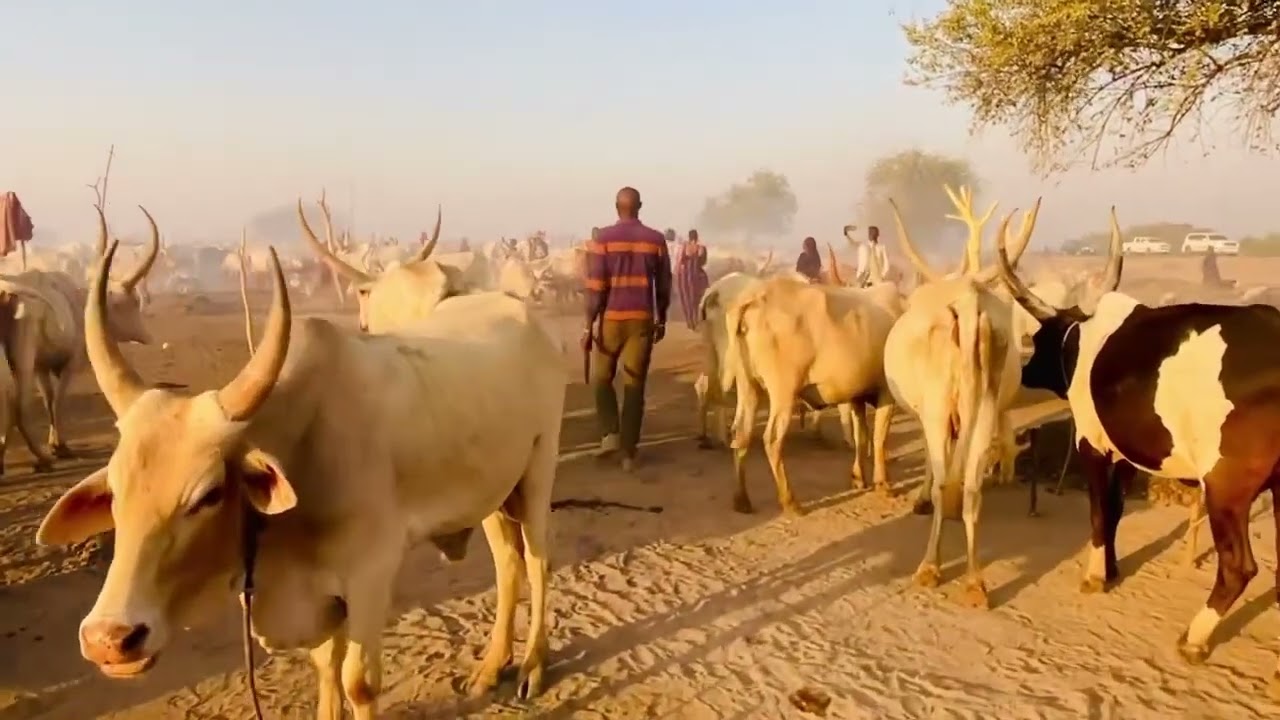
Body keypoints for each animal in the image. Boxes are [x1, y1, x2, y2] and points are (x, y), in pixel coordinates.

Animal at [35, 236, 567, 718]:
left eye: (208, 494)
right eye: (115, 493)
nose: (109, 638)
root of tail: (520, 310)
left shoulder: (370, 574)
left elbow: (358, 682)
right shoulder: (318, 598)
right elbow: (325, 666)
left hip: (538, 471)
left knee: (538, 560)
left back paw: (532, 666)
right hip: (493, 492)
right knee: (508, 564)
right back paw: (492, 667)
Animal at [722, 274, 905, 515]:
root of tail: (754, 297)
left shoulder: (857, 395)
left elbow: (861, 437)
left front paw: (858, 478)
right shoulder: (886, 393)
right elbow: (879, 438)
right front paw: (883, 484)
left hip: (748, 387)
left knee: (740, 434)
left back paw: (742, 499)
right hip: (783, 392)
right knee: (772, 439)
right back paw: (790, 502)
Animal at [882, 186, 1041, 609]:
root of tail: (970, 303)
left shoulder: (927, 412)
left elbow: (929, 462)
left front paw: (920, 500)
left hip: (939, 405)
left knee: (945, 479)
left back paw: (929, 566)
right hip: (984, 405)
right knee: (971, 487)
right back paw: (974, 582)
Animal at [995, 217, 1280, 698]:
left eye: (1038, 337)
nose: (1026, 370)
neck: (1087, 340)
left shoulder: (1092, 445)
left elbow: (1097, 515)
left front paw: (1095, 576)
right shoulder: (1126, 457)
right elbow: (1113, 514)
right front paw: (1111, 568)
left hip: (1227, 490)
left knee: (1237, 568)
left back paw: (1194, 639)